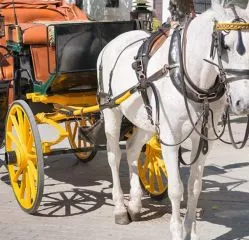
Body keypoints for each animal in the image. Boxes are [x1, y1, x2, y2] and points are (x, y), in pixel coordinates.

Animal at [96, 0, 249, 239]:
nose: (244, 103)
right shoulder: (170, 137)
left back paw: (135, 204)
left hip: (146, 120)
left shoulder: (202, 138)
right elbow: (176, 188)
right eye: (226, 46)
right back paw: (120, 208)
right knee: (114, 156)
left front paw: (191, 231)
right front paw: (177, 231)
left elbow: (194, 187)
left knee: (131, 149)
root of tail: (112, 42)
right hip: (111, 110)